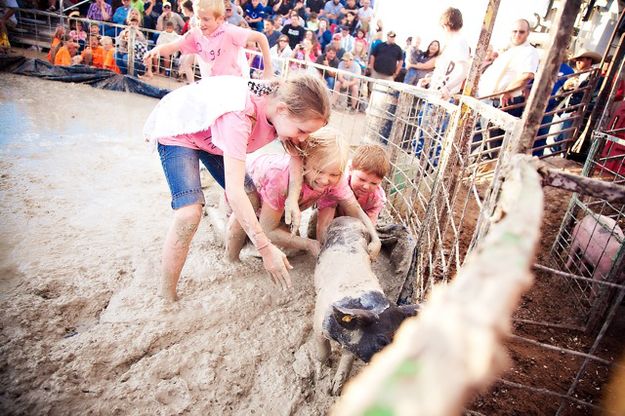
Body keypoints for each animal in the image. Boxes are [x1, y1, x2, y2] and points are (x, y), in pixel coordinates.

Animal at [312, 216, 420, 394]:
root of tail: (348, 218)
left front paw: (336, 390)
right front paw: (322, 376)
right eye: (382, 341)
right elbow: (323, 353)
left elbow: (348, 358)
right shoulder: (318, 325)